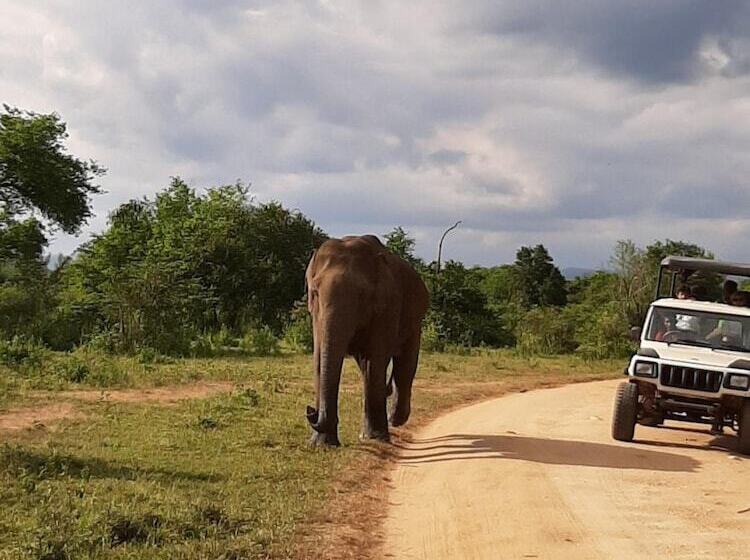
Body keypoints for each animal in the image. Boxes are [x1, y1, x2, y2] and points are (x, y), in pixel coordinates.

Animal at [304, 235, 429, 446]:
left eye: (362, 295)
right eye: (314, 293)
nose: (311, 411)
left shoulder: (387, 305)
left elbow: (376, 359)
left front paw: (377, 438)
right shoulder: (316, 315)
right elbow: (319, 359)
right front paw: (320, 445)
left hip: (415, 318)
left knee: (405, 364)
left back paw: (394, 419)